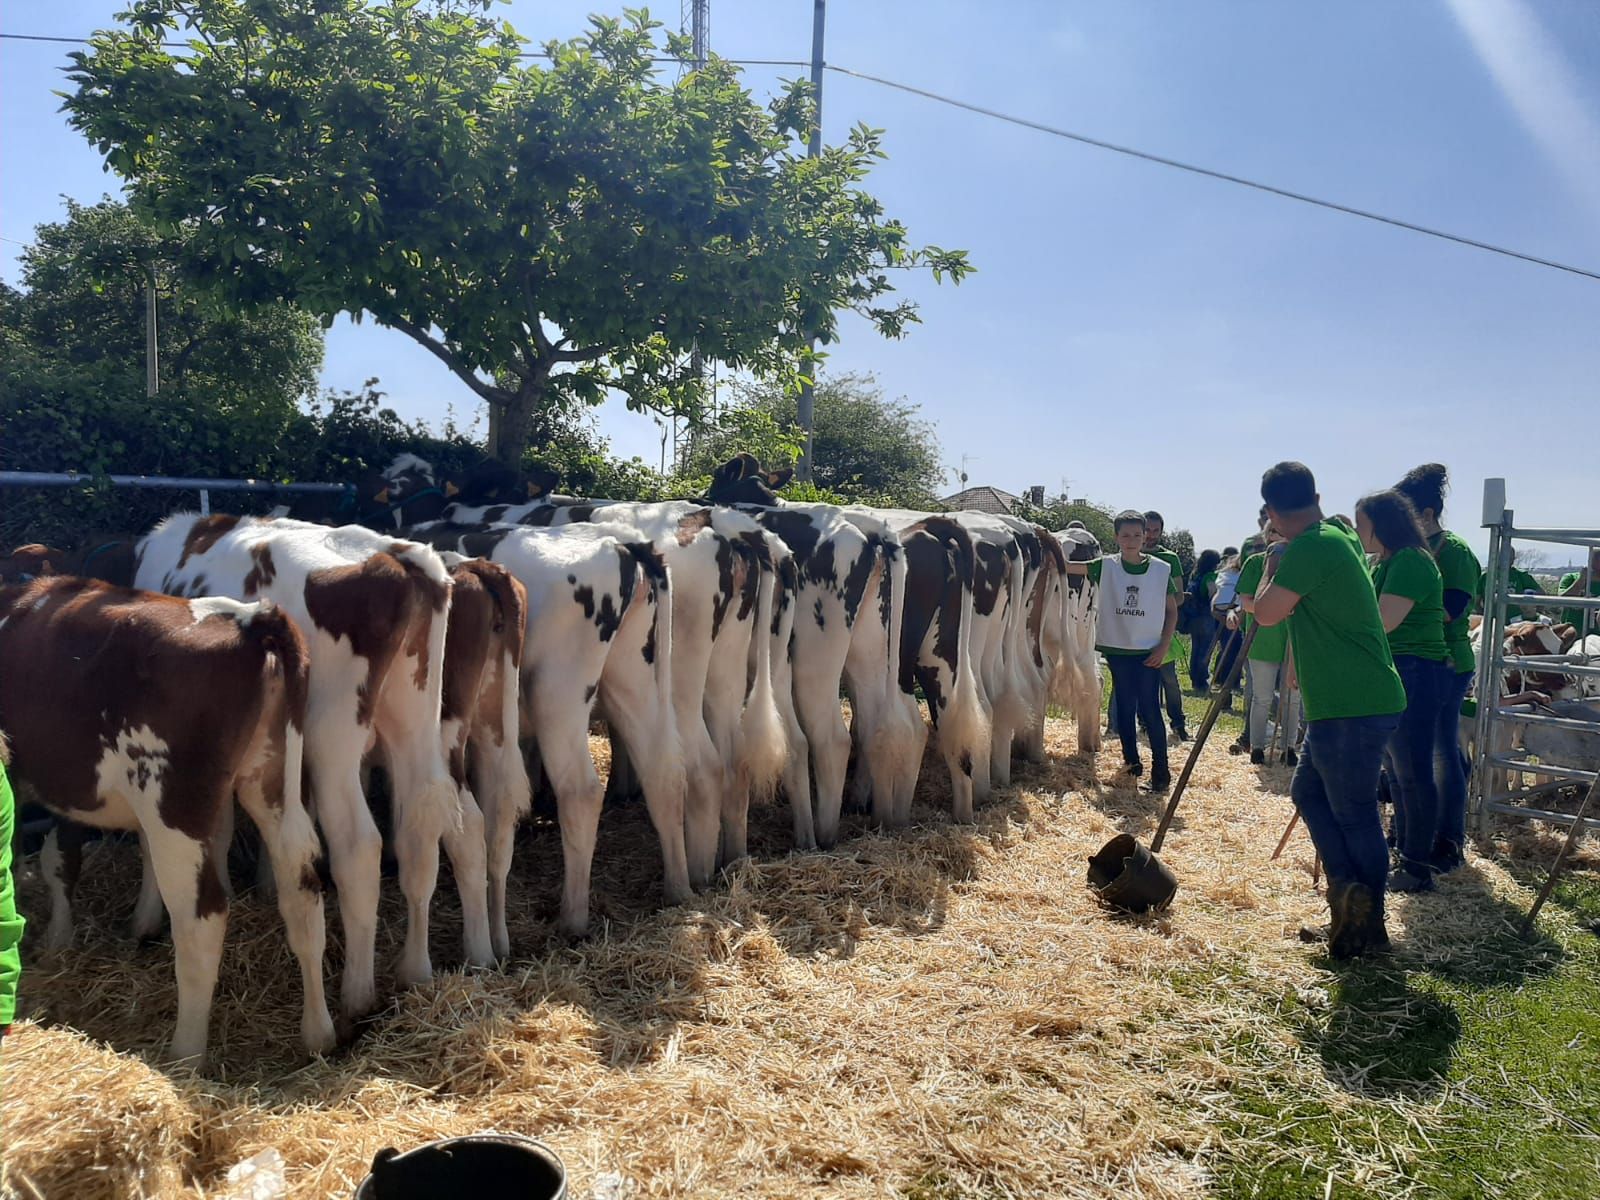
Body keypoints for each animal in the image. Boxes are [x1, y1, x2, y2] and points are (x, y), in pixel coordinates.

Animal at [0, 579, 334, 1062]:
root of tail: (252, 618)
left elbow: (51, 857)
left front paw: (57, 938)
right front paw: (130, 924)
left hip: (174, 802)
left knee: (202, 918)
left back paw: (185, 1054)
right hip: (273, 780)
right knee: (302, 886)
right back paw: (319, 1034)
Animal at [135, 512, 473, 1030]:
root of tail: (398, 558)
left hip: (331, 736)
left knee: (359, 845)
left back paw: (357, 994)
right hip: (414, 718)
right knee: (420, 829)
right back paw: (414, 970)